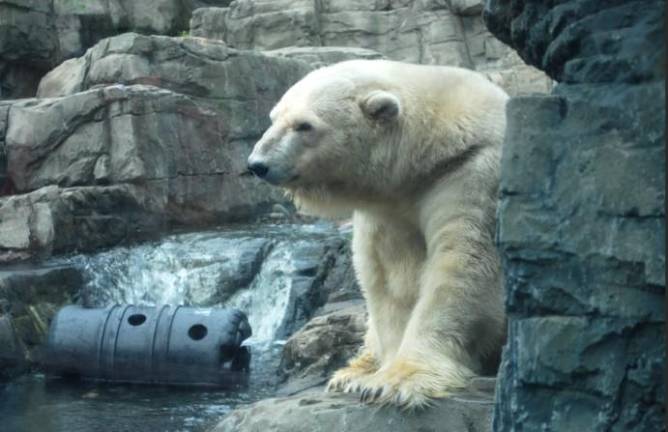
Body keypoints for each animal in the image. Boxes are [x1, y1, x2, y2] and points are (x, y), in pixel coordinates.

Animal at [247, 59, 508, 409]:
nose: (257, 164)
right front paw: (376, 378)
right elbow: (390, 277)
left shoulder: (473, 173)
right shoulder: (389, 205)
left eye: (304, 125)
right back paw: (350, 372)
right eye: (273, 117)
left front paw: (397, 381)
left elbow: (462, 266)